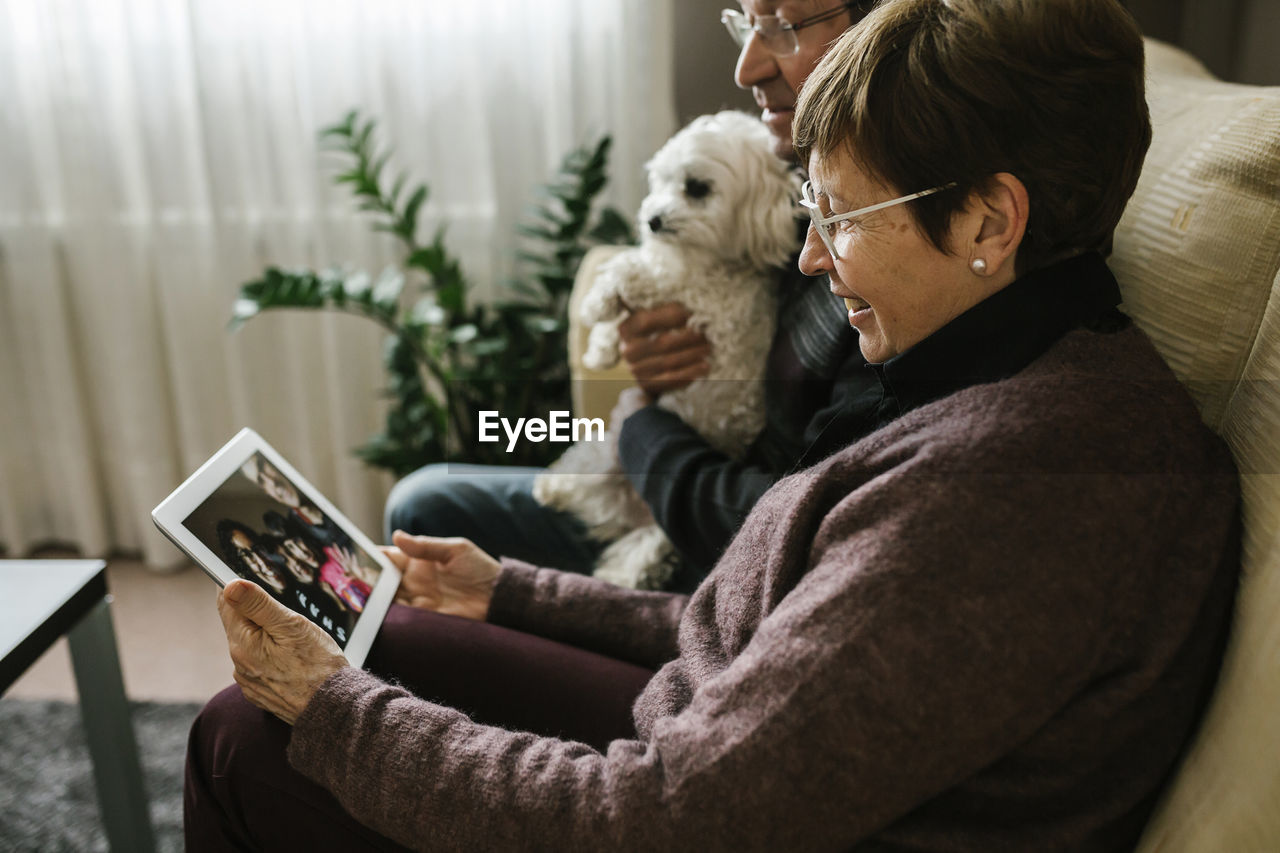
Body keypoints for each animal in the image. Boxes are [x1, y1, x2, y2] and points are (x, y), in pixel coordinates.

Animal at [529, 109, 798, 589]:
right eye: (662, 182)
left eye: (696, 188)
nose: (651, 220)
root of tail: (635, 509)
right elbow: (620, 316)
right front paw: (600, 349)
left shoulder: (703, 297)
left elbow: (631, 269)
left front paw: (597, 301)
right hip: (603, 457)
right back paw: (553, 488)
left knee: (645, 549)